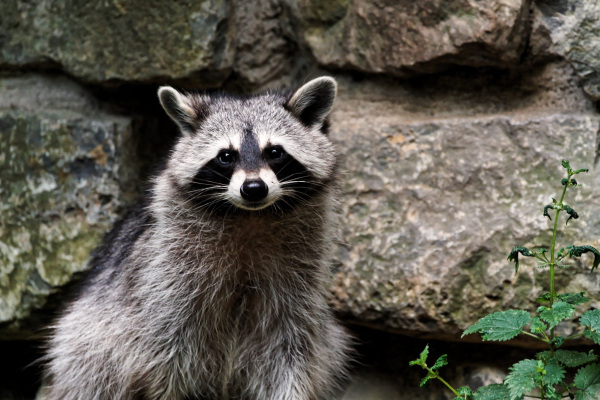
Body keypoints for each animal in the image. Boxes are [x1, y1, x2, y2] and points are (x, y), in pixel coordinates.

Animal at [43, 76, 352, 398]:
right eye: (226, 156)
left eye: (275, 152)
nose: (254, 188)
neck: (250, 216)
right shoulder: (166, 279)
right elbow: (166, 354)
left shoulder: (299, 285)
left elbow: (291, 350)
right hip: (90, 333)